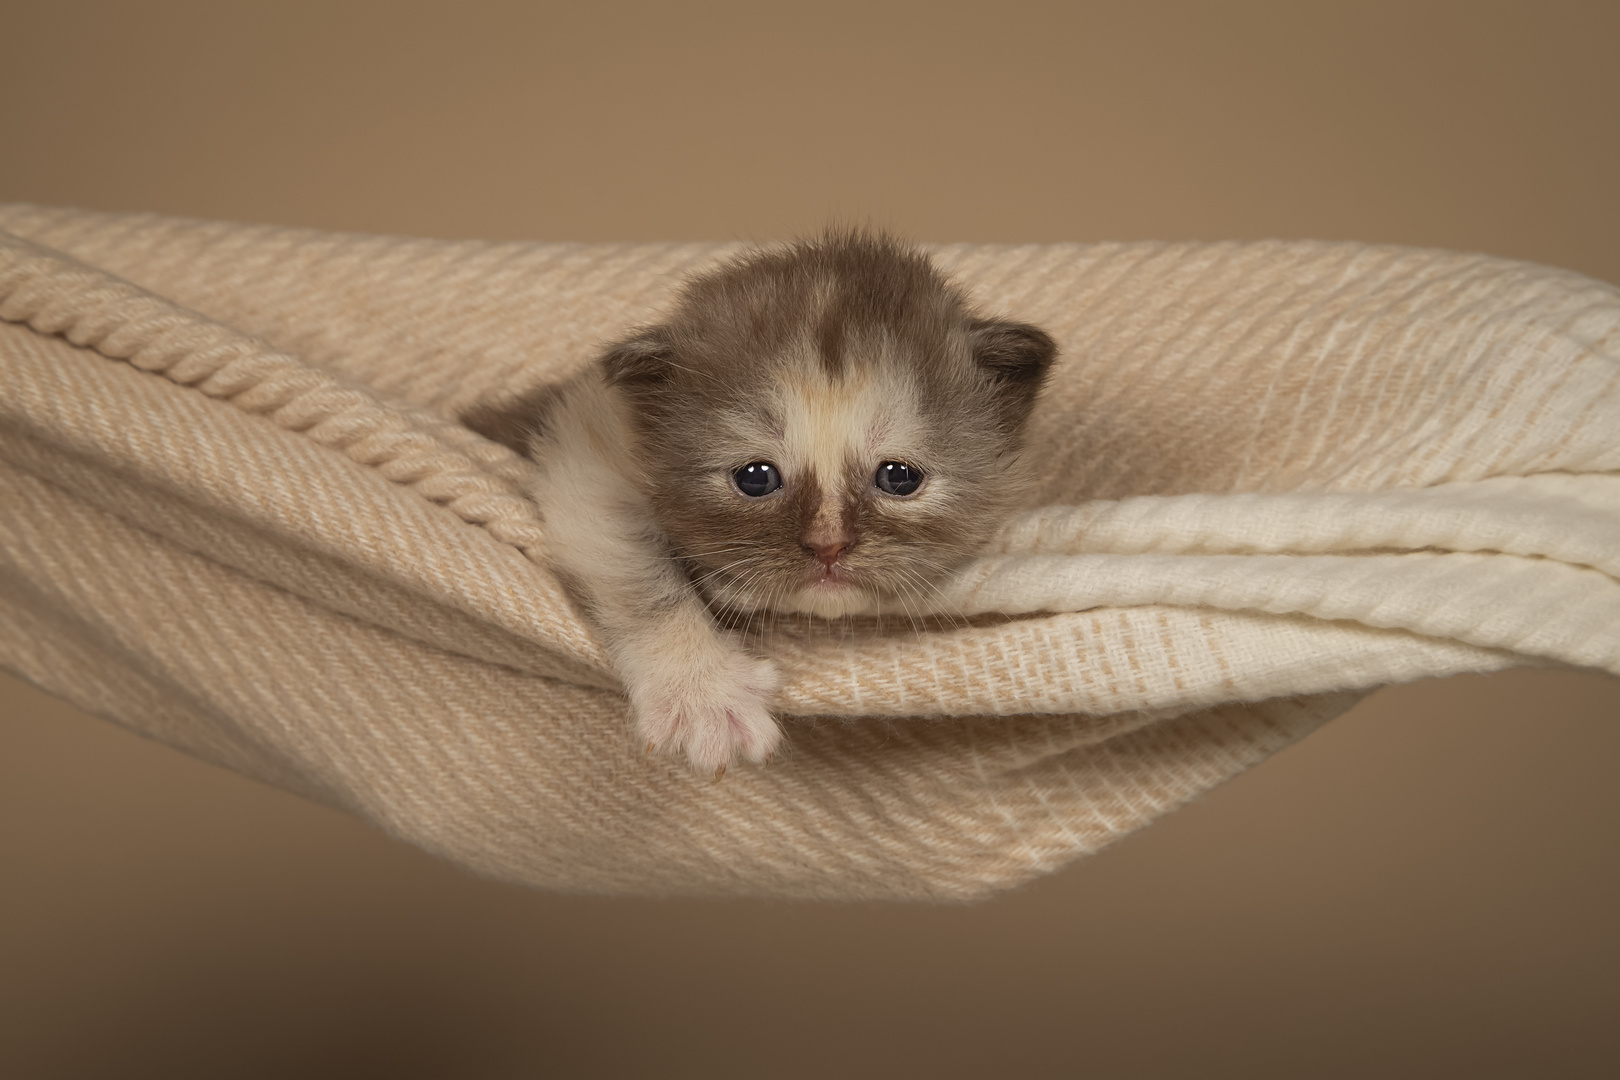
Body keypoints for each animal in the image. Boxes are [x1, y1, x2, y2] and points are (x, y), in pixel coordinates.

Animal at [463, 234, 1056, 777]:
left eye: (899, 477)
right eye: (755, 478)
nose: (828, 547)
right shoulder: (585, 447)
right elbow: (641, 577)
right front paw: (702, 694)